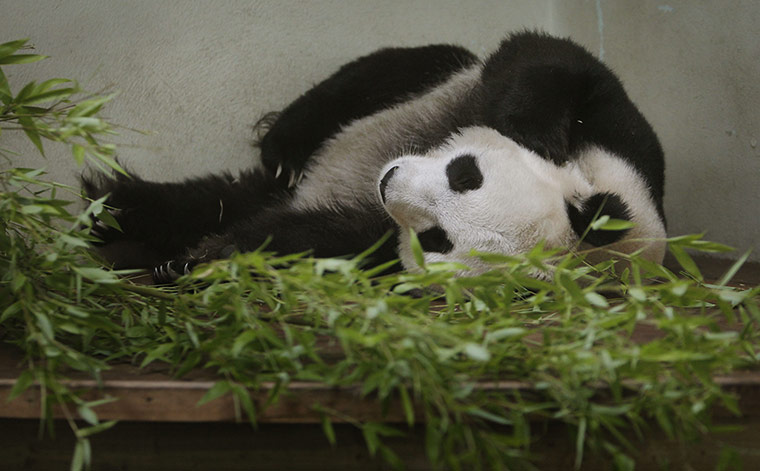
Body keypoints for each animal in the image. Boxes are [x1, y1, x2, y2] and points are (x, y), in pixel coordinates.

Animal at [83, 31, 667, 283]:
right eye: (466, 174)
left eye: (437, 240)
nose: (390, 184)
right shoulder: (622, 140)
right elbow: (551, 60)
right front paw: (531, 134)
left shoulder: (375, 240)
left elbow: (327, 242)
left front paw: (211, 255)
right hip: (425, 83)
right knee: (384, 74)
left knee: (218, 198)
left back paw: (121, 221)